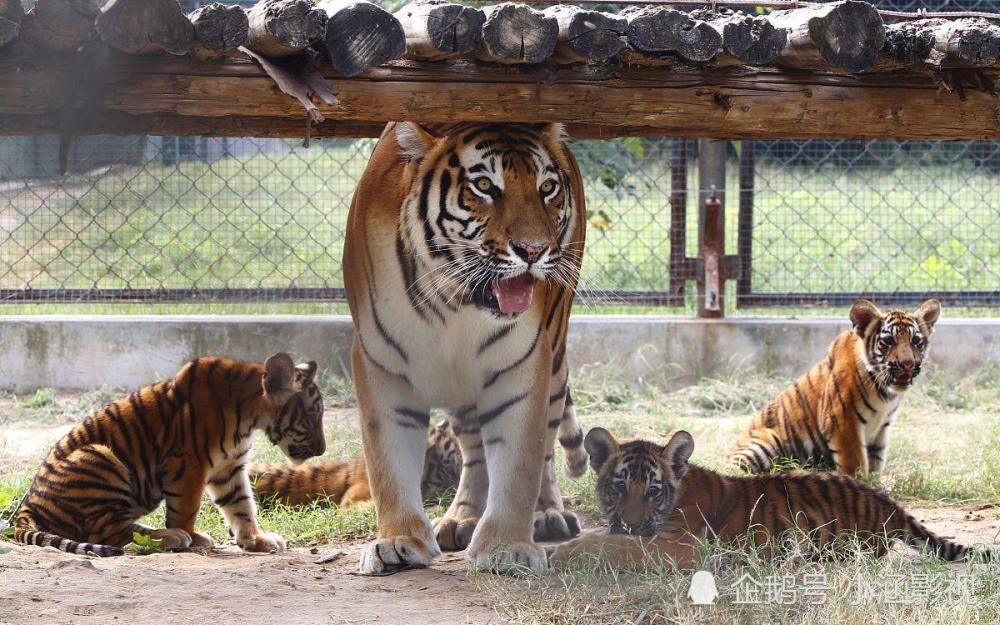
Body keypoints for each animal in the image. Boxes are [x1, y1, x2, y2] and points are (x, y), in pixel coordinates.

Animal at [14, 354, 324, 552]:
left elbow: (241, 505)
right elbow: (187, 509)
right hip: (98, 455)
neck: (250, 416)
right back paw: (172, 537)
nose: (322, 450)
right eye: (312, 414)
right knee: (107, 532)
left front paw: (256, 540)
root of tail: (27, 508)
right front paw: (193, 537)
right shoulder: (189, 463)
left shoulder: (229, 468)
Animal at [348, 123, 588, 576]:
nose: (534, 250)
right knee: (474, 448)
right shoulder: (379, 364)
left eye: (547, 188)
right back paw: (462, 518)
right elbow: (388, 462)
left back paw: (547, 514)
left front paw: (508, 546)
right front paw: (398, 541)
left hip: (554, 348)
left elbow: (521, 461)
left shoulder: (524, 363)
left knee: (547, 444)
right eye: (484, 187)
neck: (454, 303)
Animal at [556, 428, 992, 564]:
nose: (630, 523)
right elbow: (603, 537)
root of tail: (886, 500)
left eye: (652, 489)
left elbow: (613, 546)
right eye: (618, 485)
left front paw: (560, 554)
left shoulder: (677, 545)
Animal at [732, 300, 940, 476]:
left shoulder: (880, 430)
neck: (884, 391)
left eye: (916, 342)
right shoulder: (842, 420)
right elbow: (855, 463)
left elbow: (876, 461)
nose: (907, 364)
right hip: (765, 442)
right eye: (888, 341)